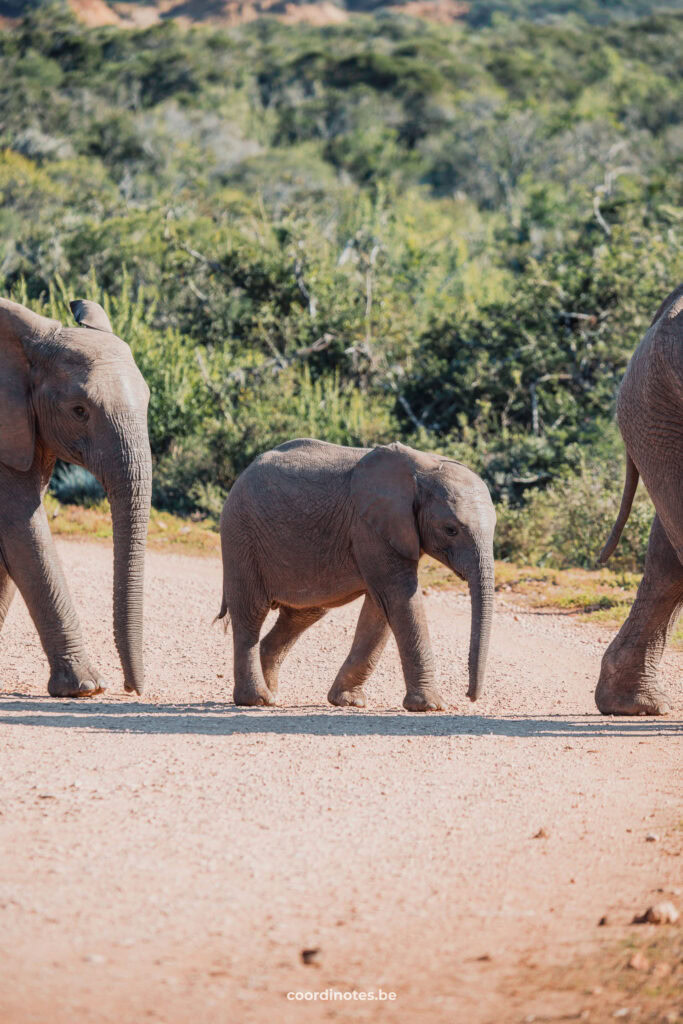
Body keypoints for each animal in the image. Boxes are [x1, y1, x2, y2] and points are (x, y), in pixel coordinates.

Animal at [219, 438, 497, 712]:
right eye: (450, 530)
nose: (469, 696)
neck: (424, 467)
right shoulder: (369, 527)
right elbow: (399, 598)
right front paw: (432, 706)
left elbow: (379, 610)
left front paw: (349, 701)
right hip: (240, 535)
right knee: (251, 612)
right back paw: (257, 699)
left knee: (304, 614)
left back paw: (272, 695)